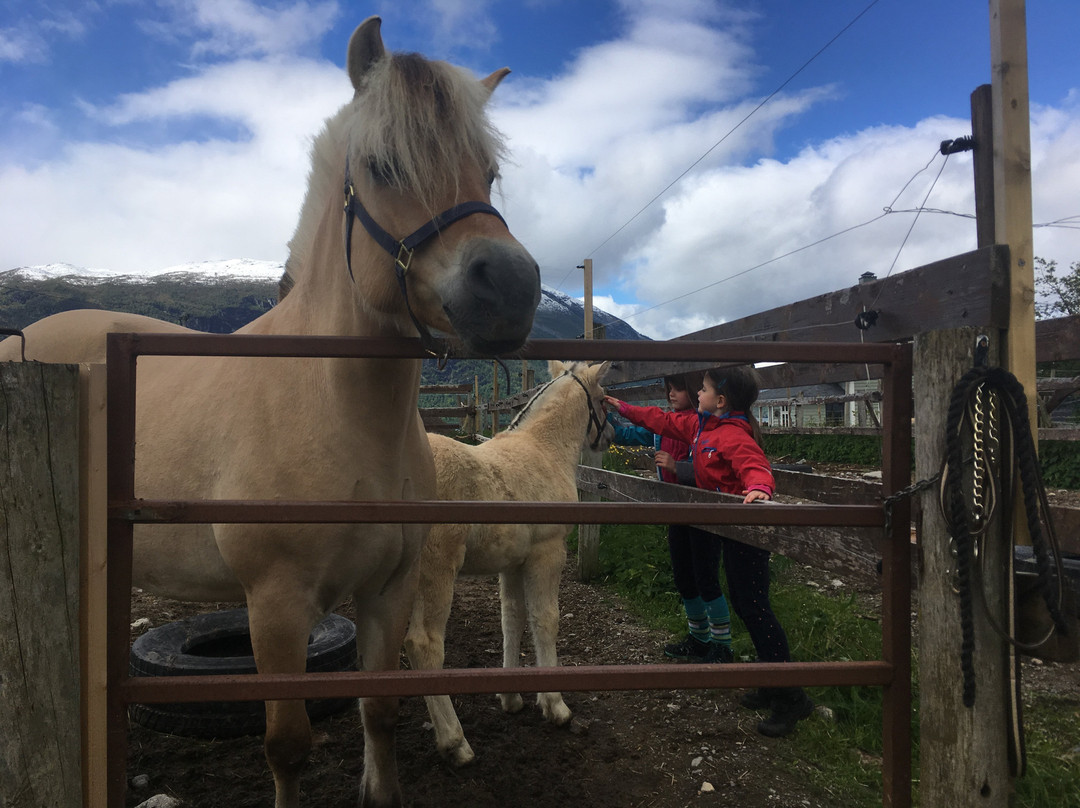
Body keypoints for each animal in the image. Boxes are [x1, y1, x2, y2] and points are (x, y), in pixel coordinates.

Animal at [0, 15, 540, 803]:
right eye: (382, 164)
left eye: (489, 172)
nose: (511, 287)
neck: (338, 411)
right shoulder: (277, 607)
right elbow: (287, 746)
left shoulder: (387, 593)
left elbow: (379, 713)